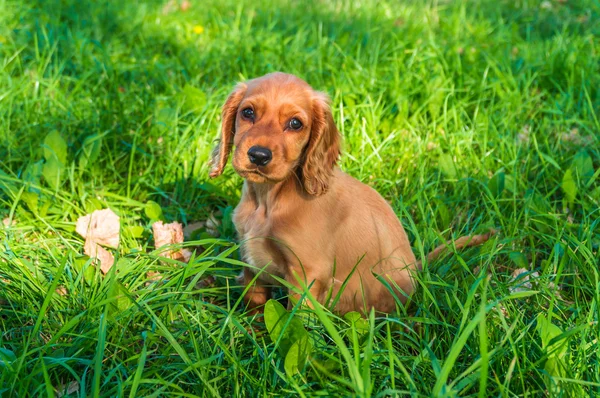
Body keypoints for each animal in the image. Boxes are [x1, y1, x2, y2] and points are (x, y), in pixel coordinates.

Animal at [211, 71, 492, 314]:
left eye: (295, 123)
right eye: (248, 112)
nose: (258, 155)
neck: (268, 199)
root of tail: (416, 268)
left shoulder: (307, 274)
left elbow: (297, 321)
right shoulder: (251, 260)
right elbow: (255, 300)